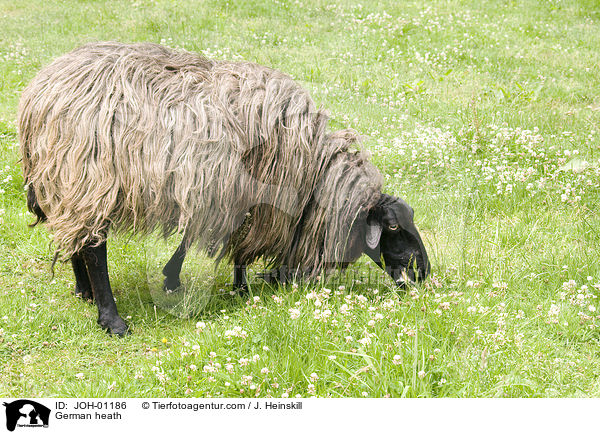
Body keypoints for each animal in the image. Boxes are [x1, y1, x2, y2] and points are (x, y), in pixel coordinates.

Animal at [18, 41, 428, 336]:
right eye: (392, 226)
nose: (423, 274)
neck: (313, 175)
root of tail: (39, 95)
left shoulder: (218, 193)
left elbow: (190, 241)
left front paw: (172, 280)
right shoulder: (249, 199)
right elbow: (239, 249)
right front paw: (241, 289)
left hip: (68, 179)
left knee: (76, 235)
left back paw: (83, 291)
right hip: (91, 174)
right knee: (93, 247)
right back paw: (111, 319)